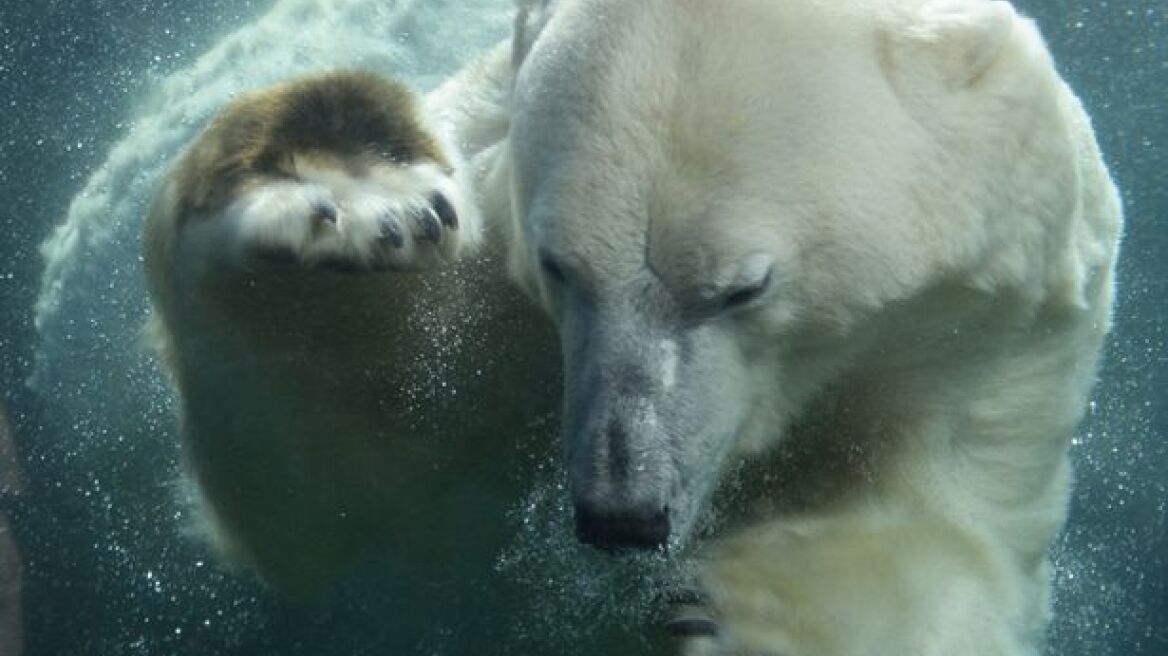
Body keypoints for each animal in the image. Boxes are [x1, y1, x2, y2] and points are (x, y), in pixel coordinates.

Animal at [141, 0, 1116, 648]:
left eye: (742, 289)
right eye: (560, 266)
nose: (623, 514)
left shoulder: (983, 347)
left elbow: (961, 543)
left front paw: (735, 611)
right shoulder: (504, 299)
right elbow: (326, 492)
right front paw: (352, 195)